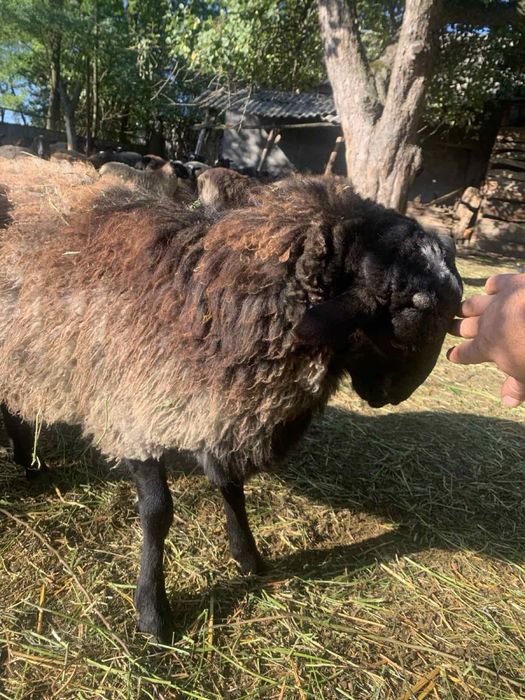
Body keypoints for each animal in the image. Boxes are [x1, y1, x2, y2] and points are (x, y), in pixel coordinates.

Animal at [0, 158, 462, 642]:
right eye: (409, 307)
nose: (395, 395)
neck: (209, 290)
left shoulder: (220, 409)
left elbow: (231, 485)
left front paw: (248, 557)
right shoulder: (132, 410)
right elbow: (157, 512)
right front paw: (153, 612)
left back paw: (27, 462)